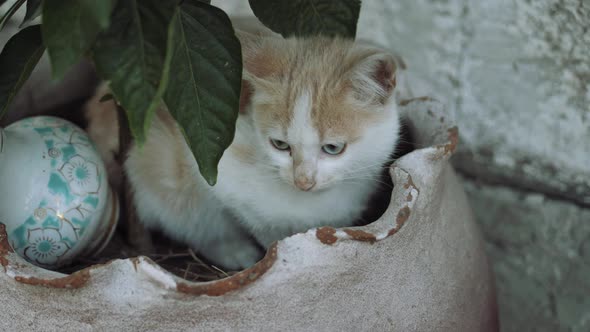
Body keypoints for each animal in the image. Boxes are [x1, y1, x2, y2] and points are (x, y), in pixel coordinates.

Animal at [85, 30, 404, 270]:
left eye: (333, 148)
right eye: (280, 145)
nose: (303, 181)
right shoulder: (219, 173)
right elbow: (259, 226)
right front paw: (272, 253)